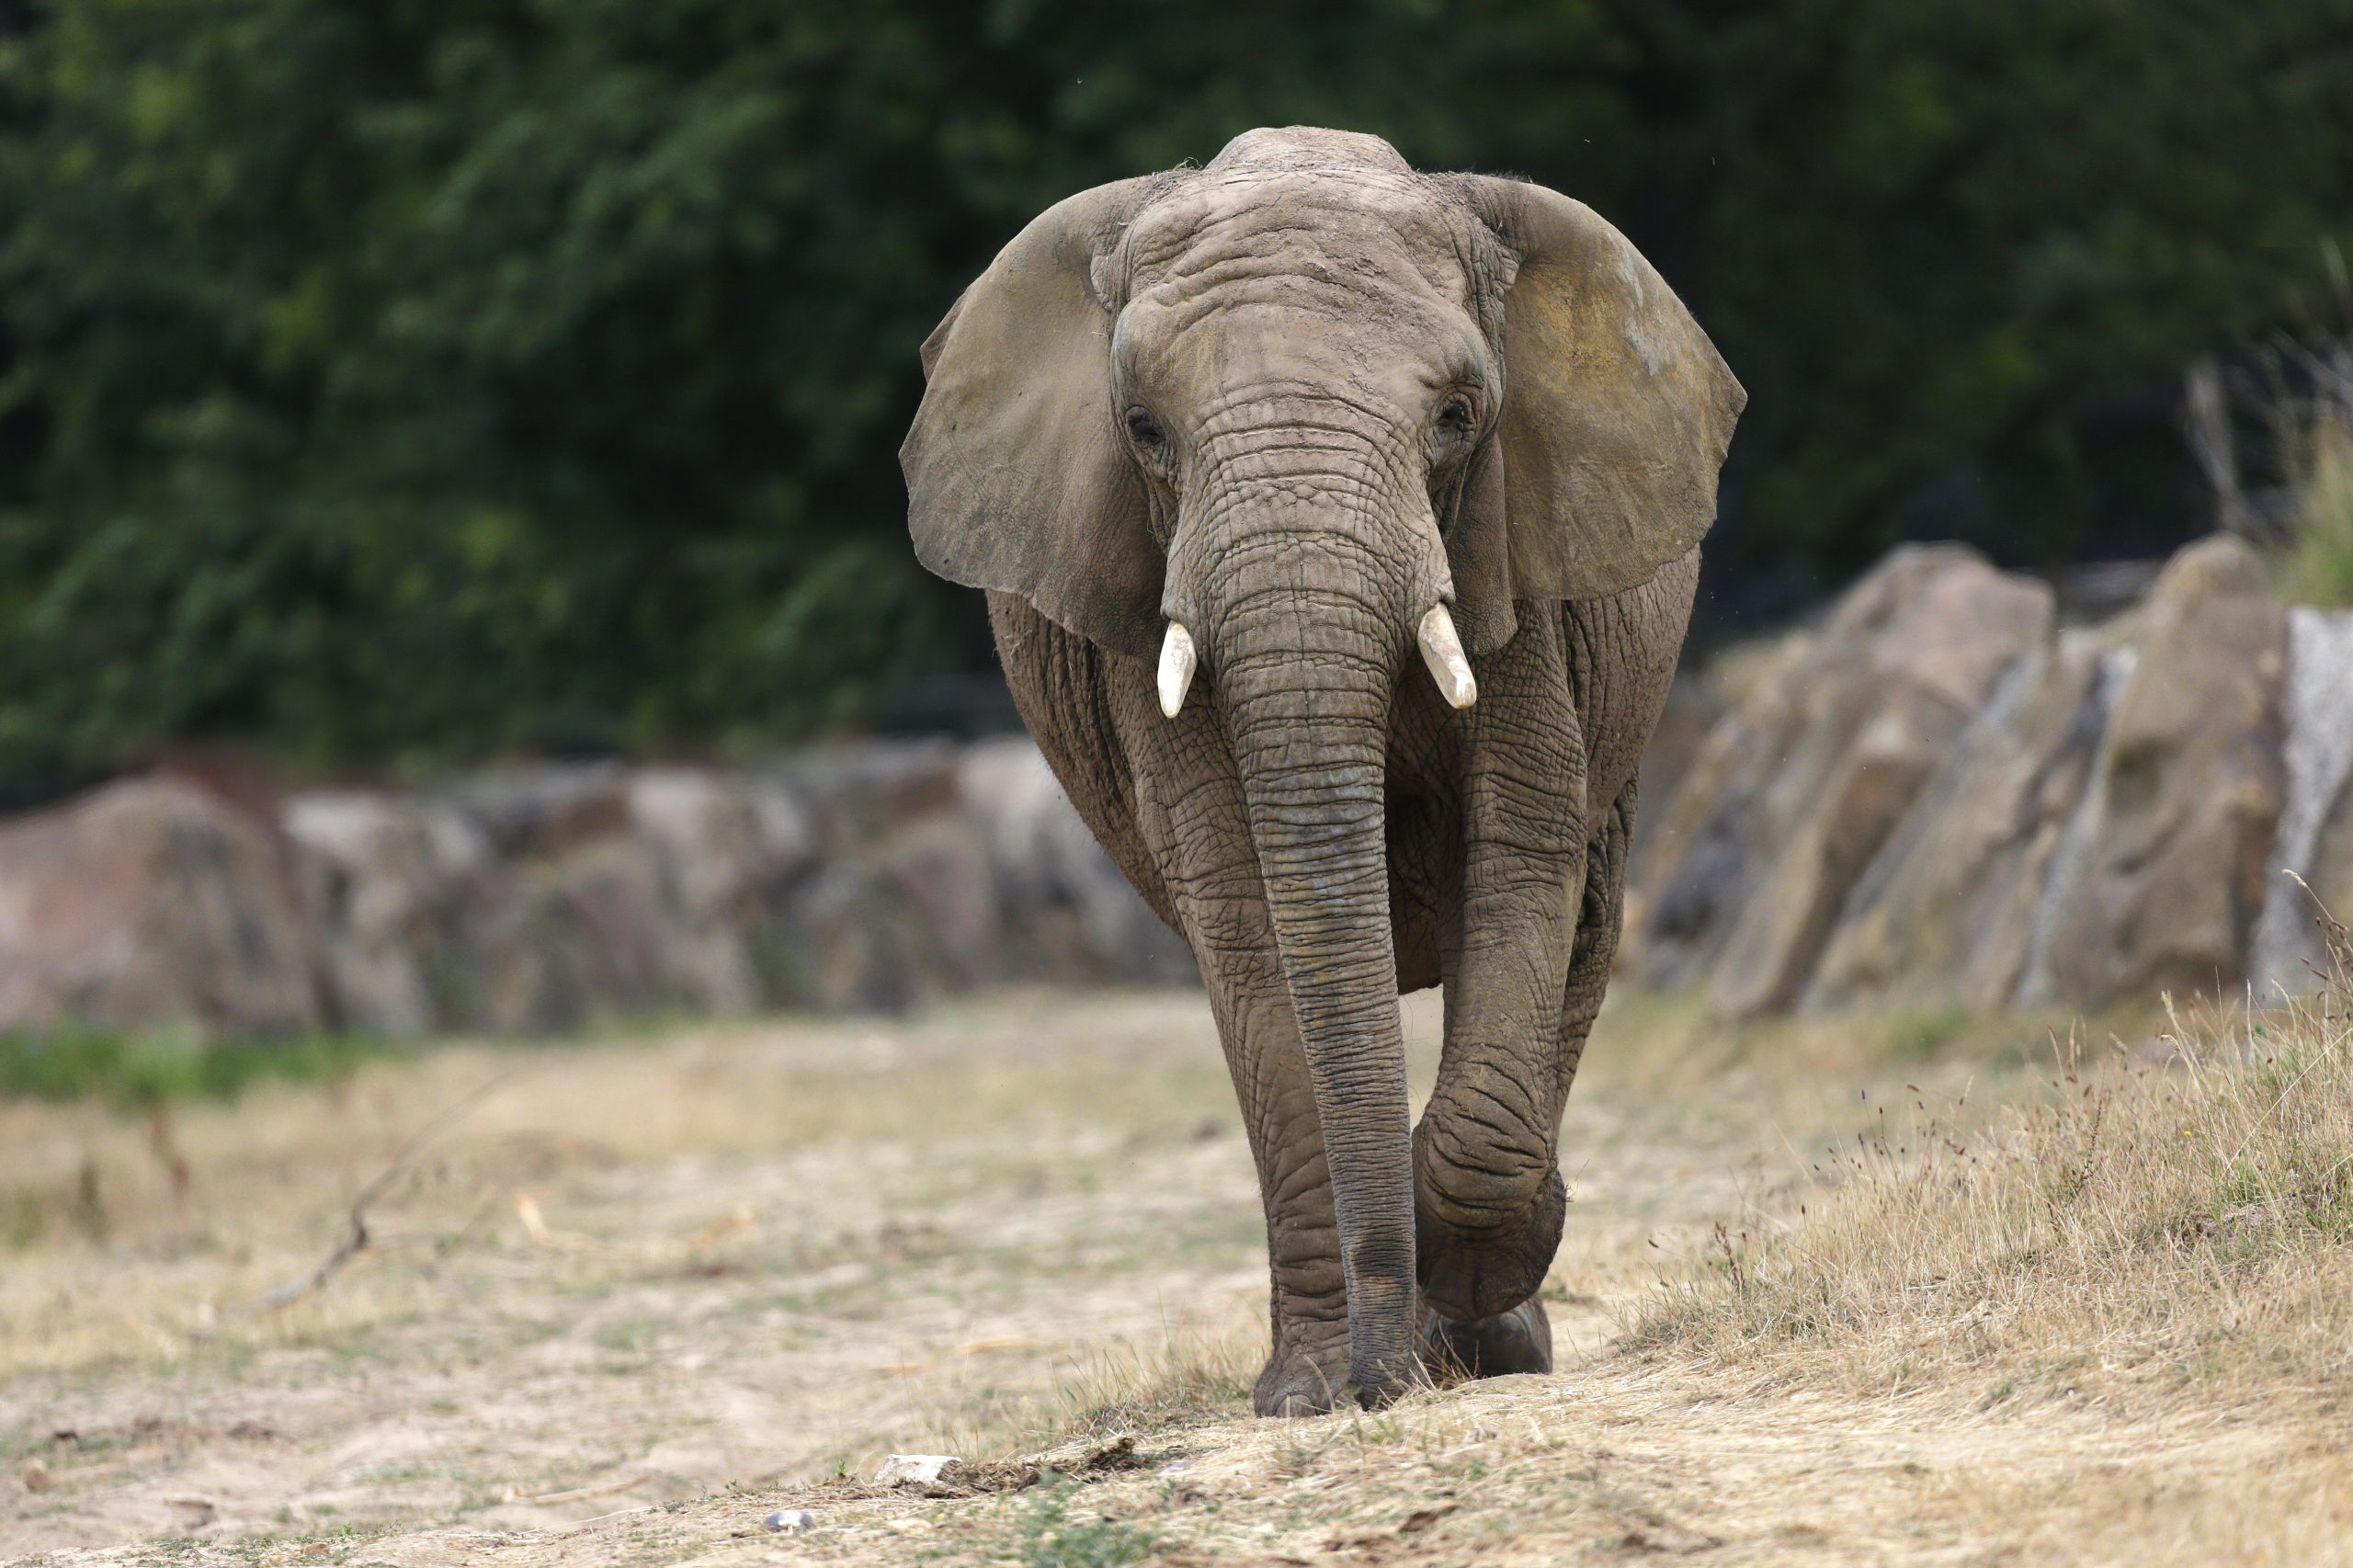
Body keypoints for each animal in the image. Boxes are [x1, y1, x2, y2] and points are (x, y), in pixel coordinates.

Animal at [904, 128, 1750, 1412]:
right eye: (1143, 428)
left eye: (1456, 414)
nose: (1375, 1384)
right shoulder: (1140, 607)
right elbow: (1240, 905)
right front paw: (1308, 1390)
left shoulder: (1513, 559)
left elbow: (1519, 851)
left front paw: (1460, 1271)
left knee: (1587, 914)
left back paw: (1481, 1333)